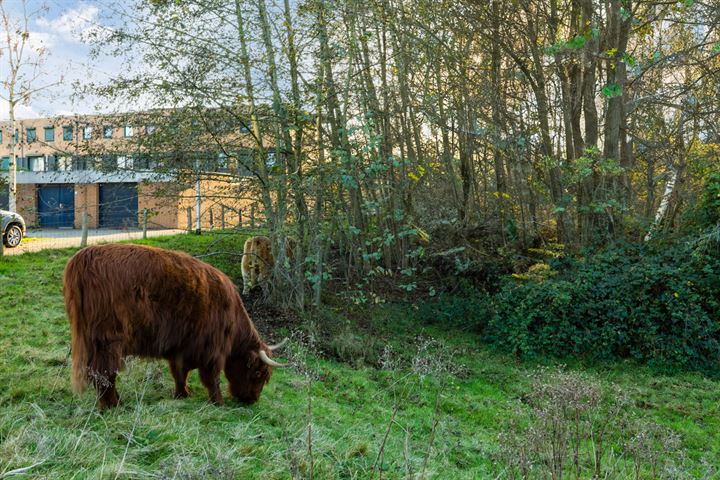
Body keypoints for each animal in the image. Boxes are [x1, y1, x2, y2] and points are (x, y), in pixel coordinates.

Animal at [62, 244, 286, 408]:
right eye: (258, 374)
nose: (252, 400)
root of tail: (84, 256)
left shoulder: (181, 348)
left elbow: (179, 373)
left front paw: (181, 394)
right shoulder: (212, 350)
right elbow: (211, 378)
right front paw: (218, 402)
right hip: (108, 340)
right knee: (103, 372)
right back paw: (112, 405)